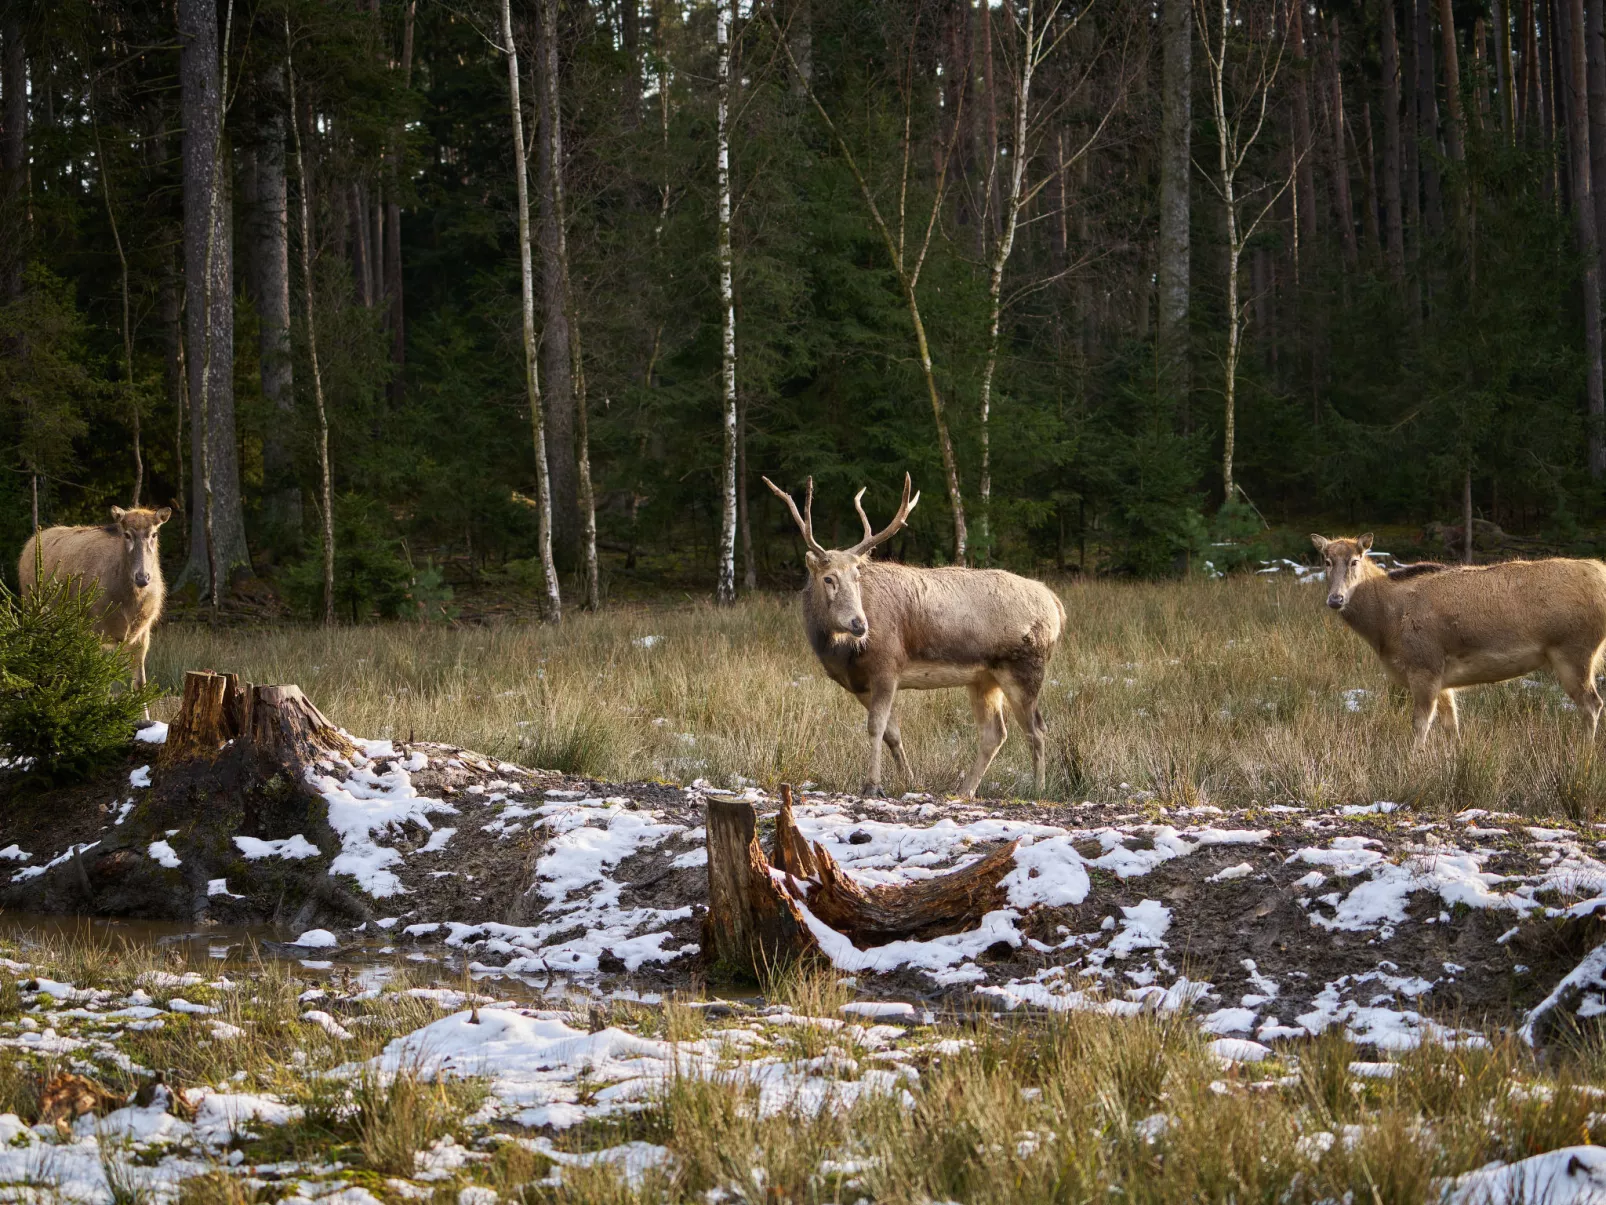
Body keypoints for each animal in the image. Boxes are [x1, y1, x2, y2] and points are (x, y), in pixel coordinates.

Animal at [764, 475, 1066, 803]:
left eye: (857, 577)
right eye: (828, 578)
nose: (860, 624)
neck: (842, 653)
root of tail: (1055, 604)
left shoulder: (888, 665)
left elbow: (875, 727)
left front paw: (873, 785)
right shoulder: (860, 684)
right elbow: (891, 732)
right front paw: (909, 781)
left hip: (1023, 667)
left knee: (1037, 729)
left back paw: (1039, 788)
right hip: (984, 678)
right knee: (995, 733)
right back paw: (964, 790)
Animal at [1310, 536, 1606, 745]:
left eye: (1355, 560)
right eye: (1326, 561)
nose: (1335, 599)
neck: (1385, 628)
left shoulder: (1424, 664)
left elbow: (1420, 724)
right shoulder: (1442, 679)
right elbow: (1452, 726)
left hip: (1575, 651)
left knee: (1592, 703)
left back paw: (1584, 753)